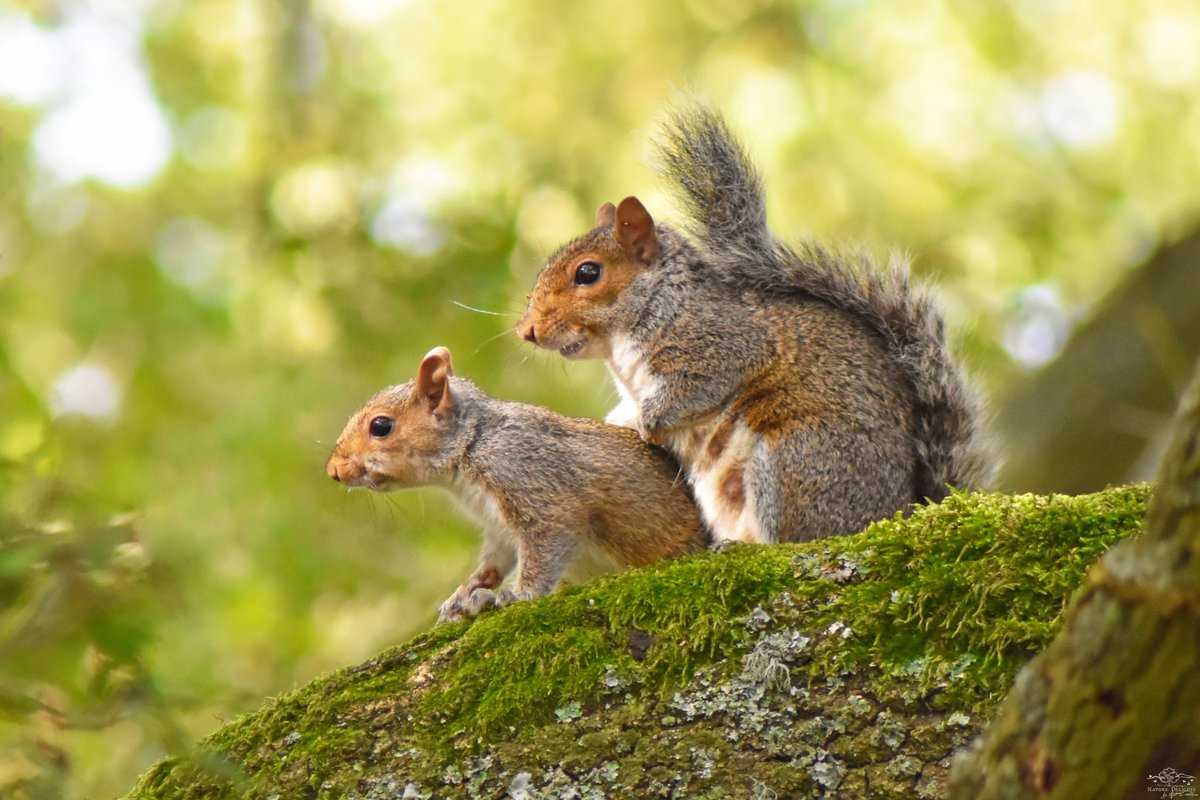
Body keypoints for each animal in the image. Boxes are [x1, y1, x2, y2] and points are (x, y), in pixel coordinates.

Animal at [324, 346, 709, 623]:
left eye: (381, 426)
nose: (333, 470)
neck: (472, 445)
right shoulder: (499, 528)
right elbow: (496, 560)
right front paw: (466, 591)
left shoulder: (530, 477)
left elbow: (546, 545)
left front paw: (517, 595)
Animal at [516, 105, 992, 544]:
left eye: (588, 273)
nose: (526, 331)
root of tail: (894, 513)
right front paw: (620, 420)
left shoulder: (721, 345)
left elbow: (689, 392)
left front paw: (647, 425)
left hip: (793, 462)